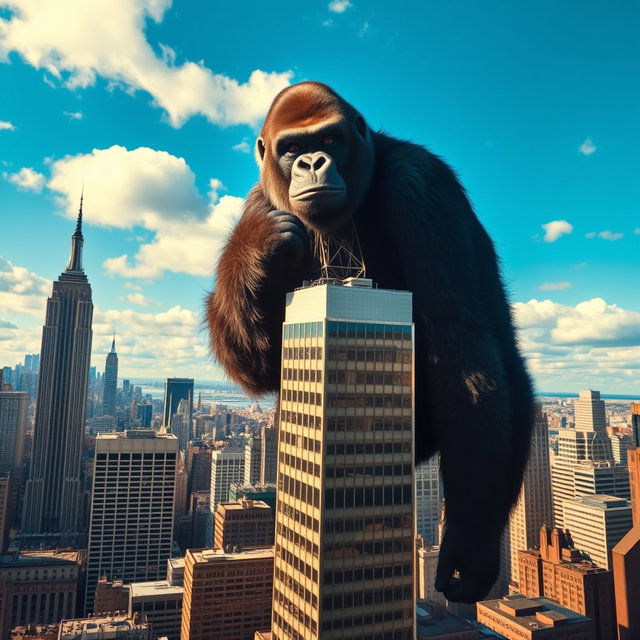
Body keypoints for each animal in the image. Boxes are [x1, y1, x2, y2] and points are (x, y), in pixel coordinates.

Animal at [206, 81, 534, 603]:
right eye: (291, 149)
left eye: (330, 140)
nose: (312, 162)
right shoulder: (261, 198)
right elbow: (263, 366)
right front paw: (254, 246)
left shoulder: (421, 185)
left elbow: (461, 346)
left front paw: (470, 546)